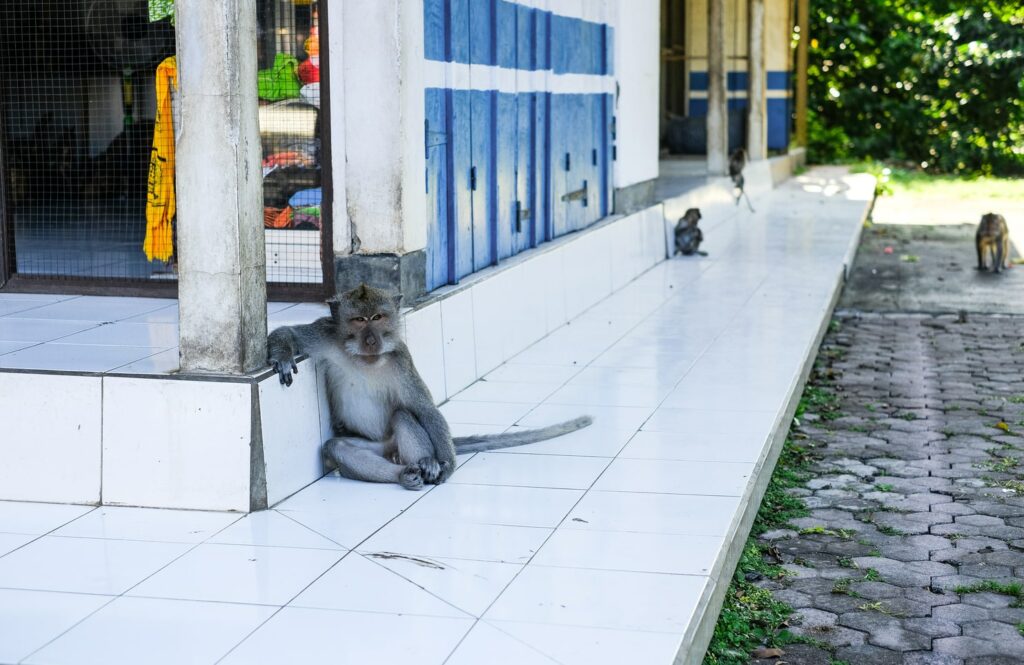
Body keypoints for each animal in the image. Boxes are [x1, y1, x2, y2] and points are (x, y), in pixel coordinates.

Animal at [266, 282, 593, 489]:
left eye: (379, 317)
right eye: (359, 319)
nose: (371, 340)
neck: (364, 359)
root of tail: (389, 450)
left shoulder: (401, 359)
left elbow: (424, 409)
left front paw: (446, 464)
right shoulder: (326, 335)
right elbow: (289, 333)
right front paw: (282, 357)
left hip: (393, 442)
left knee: (403, 415)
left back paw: (427, 463)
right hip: (376, 448)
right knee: (338, 447)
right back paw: (403, 475)